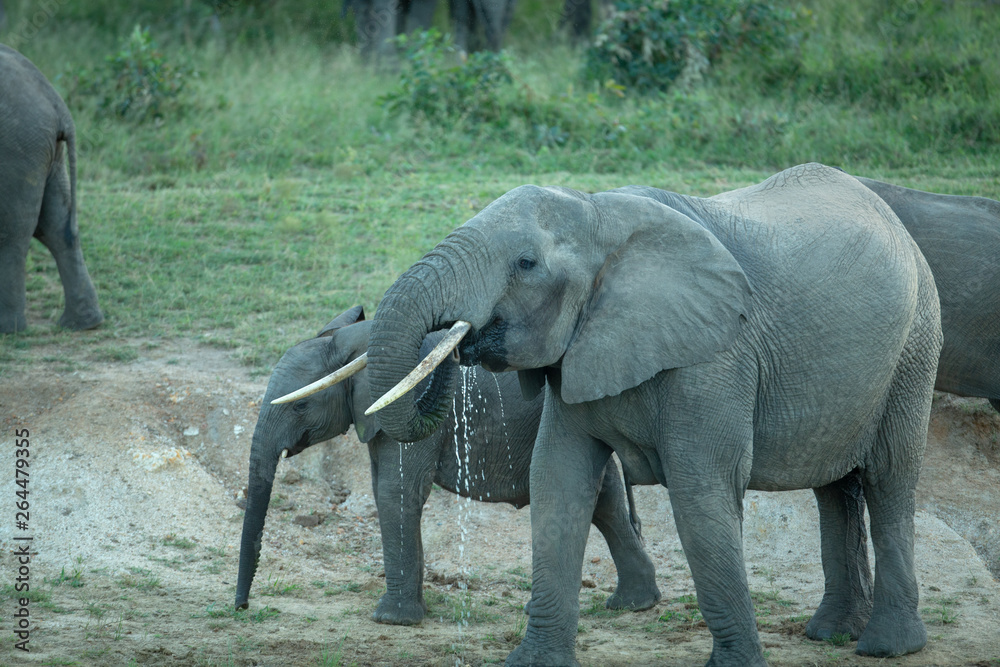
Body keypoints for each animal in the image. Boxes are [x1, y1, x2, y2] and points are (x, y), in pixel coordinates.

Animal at [0, 44, 103, 334]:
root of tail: (57, 105)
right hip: (44, 152)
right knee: (55, 227)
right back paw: (83, 325)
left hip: (17, 150)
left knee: (13, 233)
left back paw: (8, 330)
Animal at [235, 305, 661, 625]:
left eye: (300, 405)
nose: (241, 607)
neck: (357, 342)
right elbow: (383, 487)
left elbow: (395, 493)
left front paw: (393, 621)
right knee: (605, 501)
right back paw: (633, 605)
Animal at [350, 163, 940, 665]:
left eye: (525, 263)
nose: (456, 337)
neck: (597, 210)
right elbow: (557, 482)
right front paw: (533, 662)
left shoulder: (715, 357)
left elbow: (701, 493)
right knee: (835, 488)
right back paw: (831, 634)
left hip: (915, 348)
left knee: (888, 478)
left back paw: (887, 646)